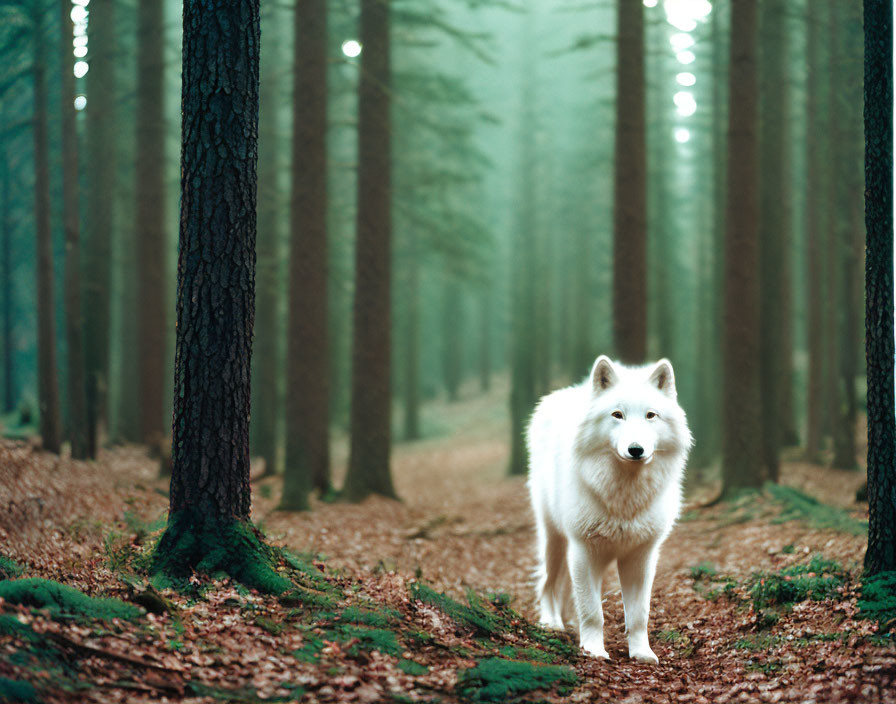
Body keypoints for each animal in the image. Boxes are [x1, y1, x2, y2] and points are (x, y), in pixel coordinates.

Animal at [524, 354, 692, 664]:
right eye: (617, 415)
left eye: (650, 415)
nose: (636, 449)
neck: (624, 496)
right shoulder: (584, 551)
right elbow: (592, 612)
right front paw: (593, 650)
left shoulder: (641, 558)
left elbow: (639, 615)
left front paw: (642, 653)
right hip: (554, 539)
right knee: (547, 583)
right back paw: (551, 623)